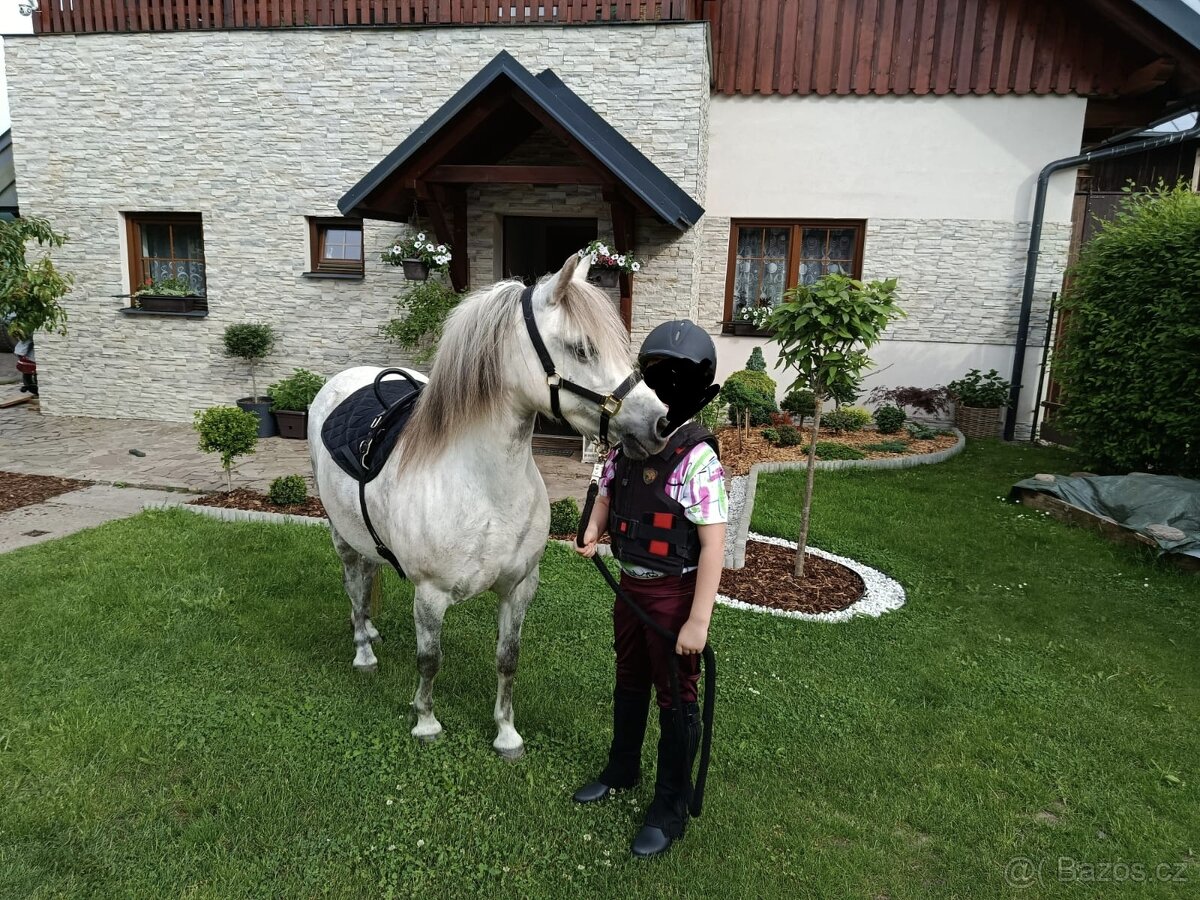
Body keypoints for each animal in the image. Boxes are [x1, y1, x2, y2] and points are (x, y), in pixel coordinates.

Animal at [308, 253, 670, 758]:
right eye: (581, 349)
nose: (659, 423)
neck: (485, 488)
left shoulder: (519, 587)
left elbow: (507, 659)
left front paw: (506, 732)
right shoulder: (430, 594)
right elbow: (429, 659)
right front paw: (426, 721)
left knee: (368, 574)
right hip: (341, 536)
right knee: (354, 587)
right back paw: (364, 649)